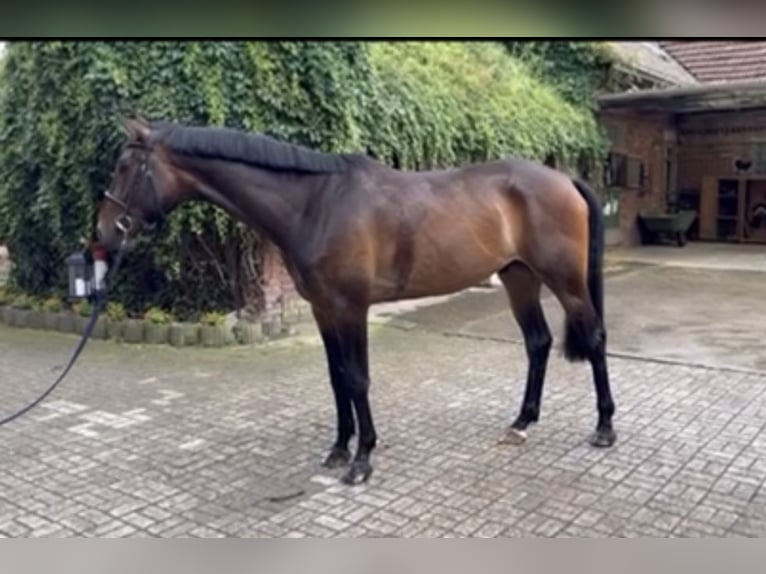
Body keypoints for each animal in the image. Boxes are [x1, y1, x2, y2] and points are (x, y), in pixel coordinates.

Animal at [97, 119, 616, 488]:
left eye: (124, 168)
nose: (102, 235)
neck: (316, 203)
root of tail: (565, 179)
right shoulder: (324, 309)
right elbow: (337, 377)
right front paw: (339, 448)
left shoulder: (351, 307)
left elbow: (358, 378)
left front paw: (362, 459)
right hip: (518, 277)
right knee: (538, 342)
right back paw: (522, 421)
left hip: (566, 282)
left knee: (594, 337)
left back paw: (605, 428)